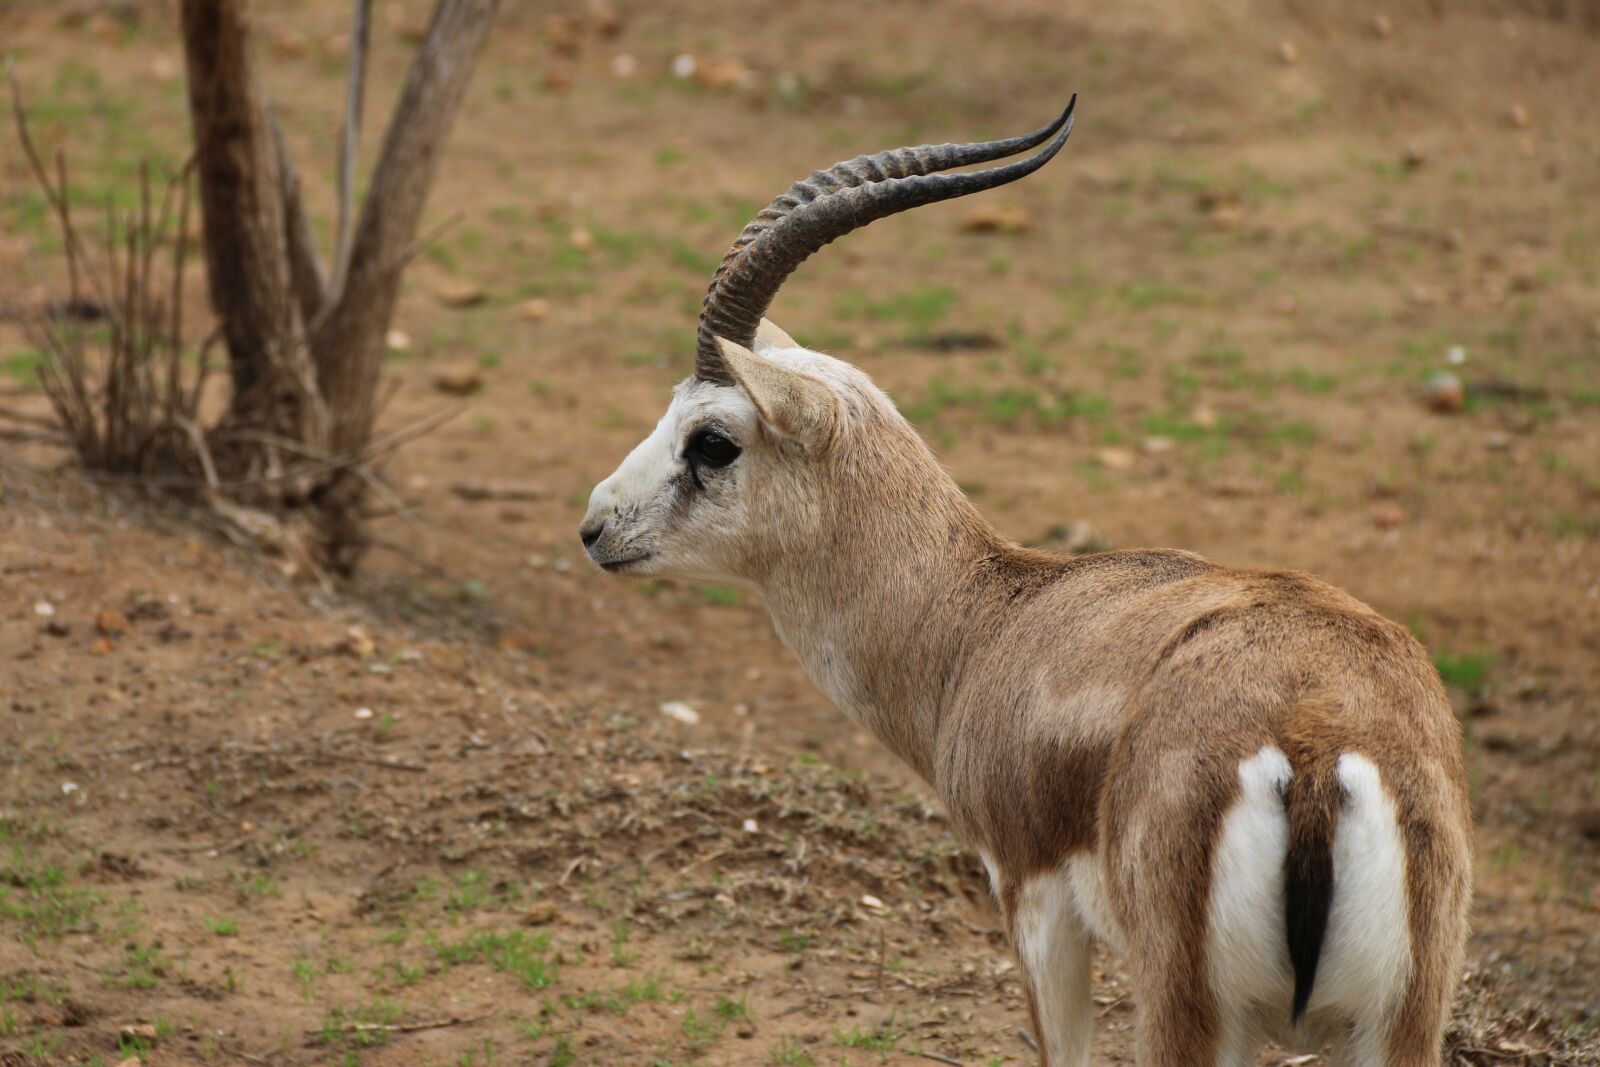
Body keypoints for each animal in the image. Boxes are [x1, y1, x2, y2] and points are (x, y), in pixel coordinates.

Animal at [579, 96, 1472, 1066]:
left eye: (712, 440)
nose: (595, 526)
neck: (988, 618)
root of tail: (1315, 739)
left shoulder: (1032, 902)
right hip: (1398, 1021)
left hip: (1194, 1011)